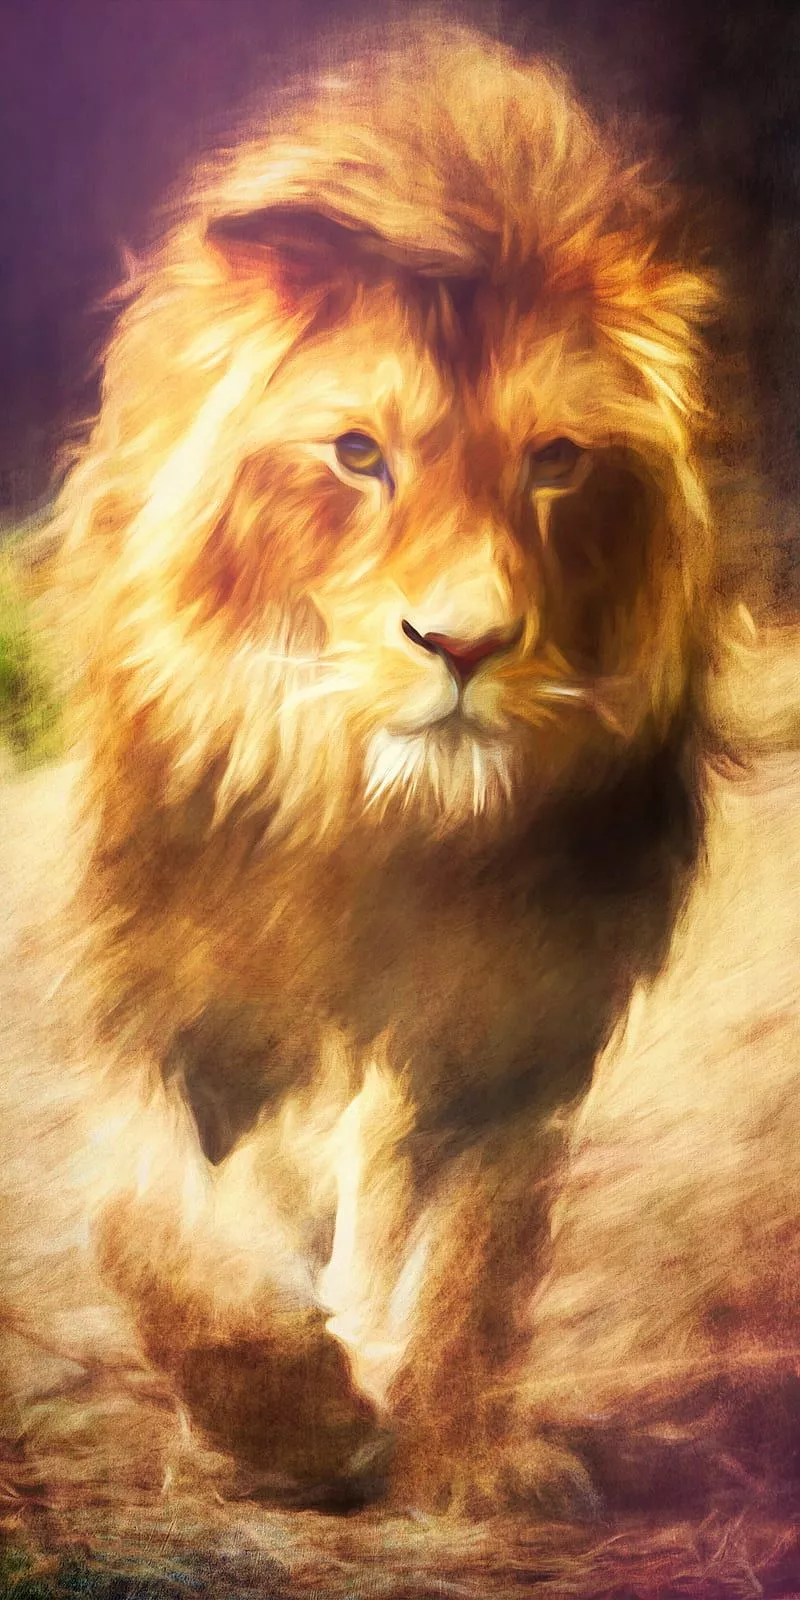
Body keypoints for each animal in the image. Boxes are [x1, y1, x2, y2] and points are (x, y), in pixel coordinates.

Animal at [7, 19, 792, 1530]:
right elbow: (157, 1220)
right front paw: (285, 1421)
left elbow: (472, 1240)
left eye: (556, 461)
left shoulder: (516, 1001)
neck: (382, 822)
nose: (464, 643)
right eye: (357, 454)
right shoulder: (195, 975)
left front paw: (453, 1451)